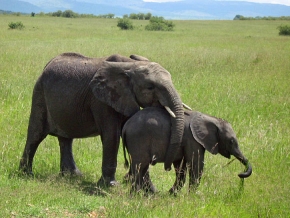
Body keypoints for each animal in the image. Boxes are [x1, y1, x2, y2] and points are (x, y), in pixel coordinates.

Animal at [19, 52, 185, 186]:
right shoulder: (100, 100)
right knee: (36, 134)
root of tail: (48, 64)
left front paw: (132, 181)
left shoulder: (125, 98)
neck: (130, 65)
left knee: (66, 139)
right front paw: (111, 185)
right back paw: (26, 174)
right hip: (39, 93)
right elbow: (112, 135)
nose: (167, 167)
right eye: (150, 87)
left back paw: (73, 176)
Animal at [122, 106, 251, 193]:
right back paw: (137, 195)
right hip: (138, 139)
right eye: (231, 141)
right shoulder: (192, 139)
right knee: (139, 166)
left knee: (140, 167)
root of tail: (125, 126)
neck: (210, 118)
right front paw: (192, 195)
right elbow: (196, 164)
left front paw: (173, 193)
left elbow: (181, 166)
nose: (240, 174)